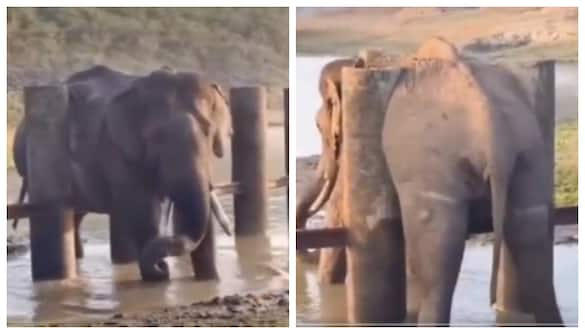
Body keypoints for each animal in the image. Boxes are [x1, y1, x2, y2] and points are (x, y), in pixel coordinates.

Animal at [12, 64, 232, 282]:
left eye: (209, 132)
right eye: (155, 137)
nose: (162, 266)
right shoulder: (116, 149)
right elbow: (143, 211)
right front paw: (152, 274)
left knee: (78, 214)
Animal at [296, 37, 560, 324]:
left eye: (318, 126)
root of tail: (495, 134)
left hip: (434, 170)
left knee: (438, 266)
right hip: (530, 154)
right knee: (531, 243)